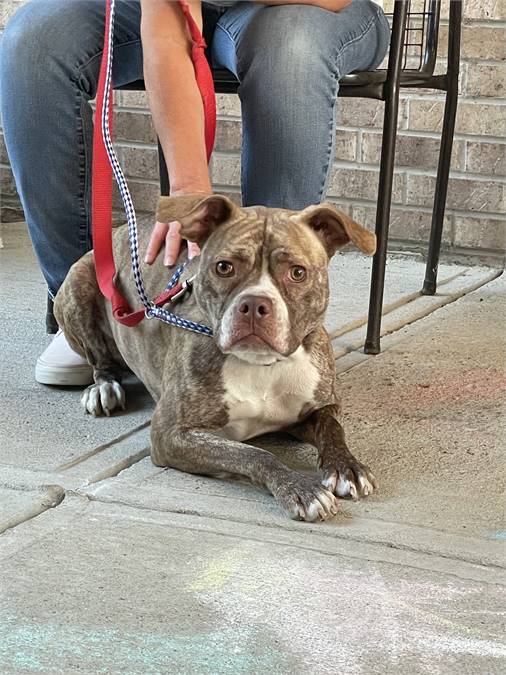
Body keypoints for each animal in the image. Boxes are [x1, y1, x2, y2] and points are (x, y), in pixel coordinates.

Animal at [55, 195, 380, 524]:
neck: (261, 365)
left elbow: (333, 427)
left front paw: (346, 467)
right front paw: (301, 488)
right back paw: (103, 387)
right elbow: (254, 454)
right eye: (224, 267)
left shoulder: (317, 408)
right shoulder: (172, 434)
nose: (254, 303)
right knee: (99, 359)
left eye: (297, 272)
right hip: (76, 285)